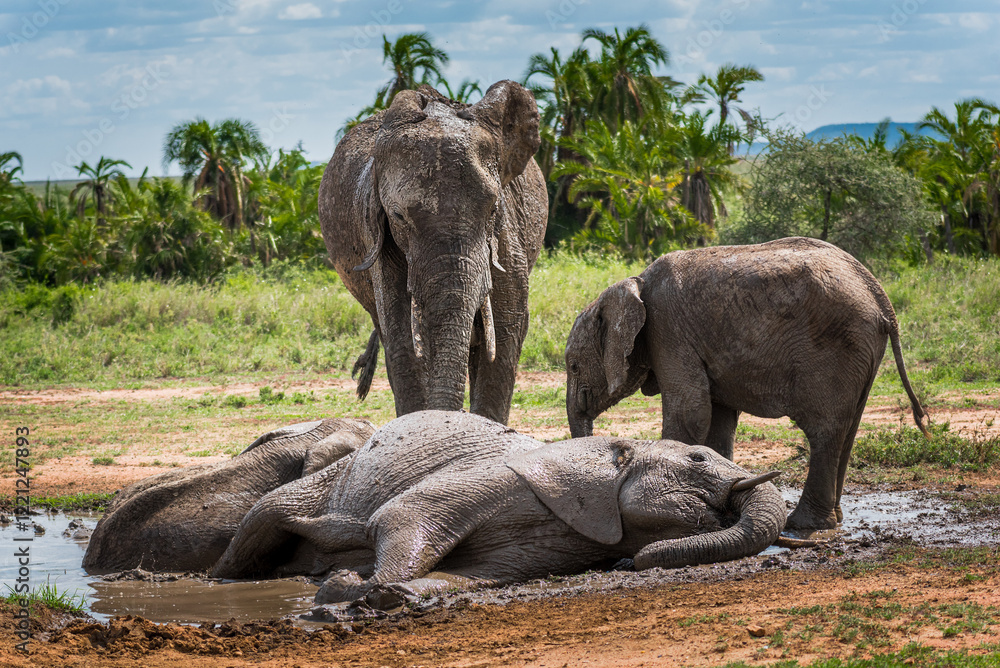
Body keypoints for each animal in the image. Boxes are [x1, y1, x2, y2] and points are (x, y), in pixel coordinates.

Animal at [210, 410, 787, 605]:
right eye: (697, 457)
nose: (629, 563)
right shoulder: (509, 479)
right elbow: (400, 516)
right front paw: (352, 585)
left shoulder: (560, 540)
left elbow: (478, 575)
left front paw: (388, 595)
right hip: (326, 477)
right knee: (263, 522)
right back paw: (215, 583)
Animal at [318, 80, 548, 425]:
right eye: (399, 217)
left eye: (494, 209)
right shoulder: (382, 241)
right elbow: (402, 332)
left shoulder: (507, 236)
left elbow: (507, 327)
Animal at [563, 237, 929, 531]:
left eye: (573, 365)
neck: (632, 285)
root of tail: (881, 298)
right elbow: (718, 420)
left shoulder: (667, 330)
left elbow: (691, 412)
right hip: (863, 352)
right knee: (848, 429)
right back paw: (833, 520)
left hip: (838, 347)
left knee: (824, 430)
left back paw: (803, 525)